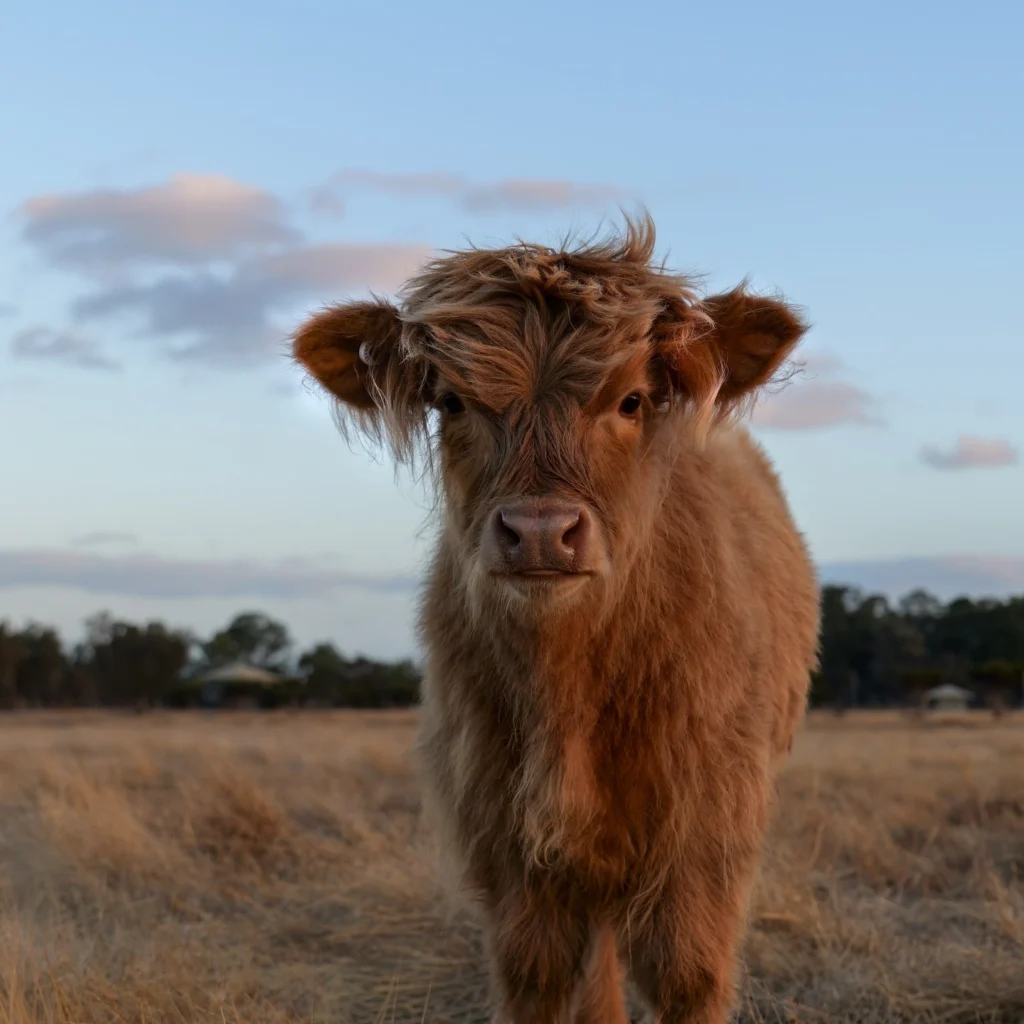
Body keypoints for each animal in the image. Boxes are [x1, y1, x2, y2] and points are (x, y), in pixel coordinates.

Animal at [292, 215, 820, 1023]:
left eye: (631, 400)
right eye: (452, 402)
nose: (540, 531)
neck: (566, 695)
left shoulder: (705, 842)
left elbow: (688, 977)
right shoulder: (508, 856)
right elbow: (539, 980)